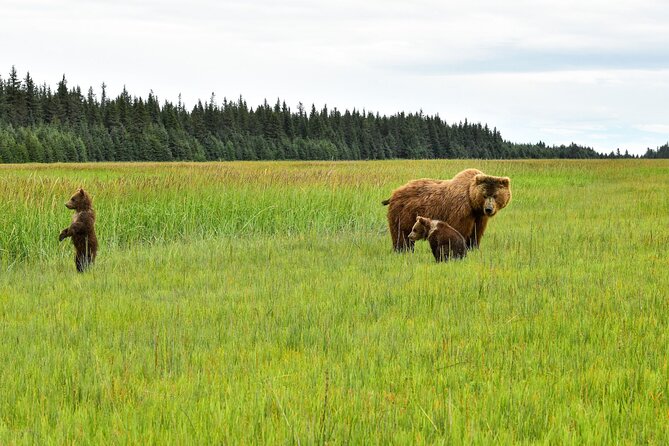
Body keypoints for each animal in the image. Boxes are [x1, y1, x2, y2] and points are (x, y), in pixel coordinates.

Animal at [382, 168, 511, 252]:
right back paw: (402, 250)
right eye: (484, 195)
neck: (472, 201)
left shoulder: (479, 216)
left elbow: (476, 233)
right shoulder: (461, 210)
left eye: (495, 195)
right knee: (401, 234)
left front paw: (473, 248)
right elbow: (460, 229)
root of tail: (394, 193)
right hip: (403, 213)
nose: (489, 209)